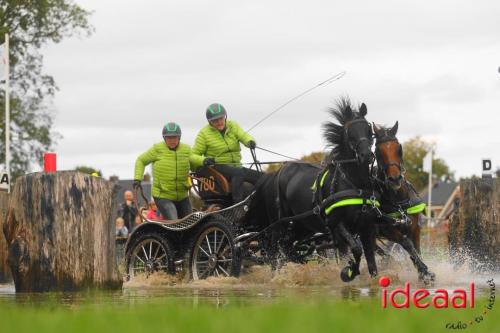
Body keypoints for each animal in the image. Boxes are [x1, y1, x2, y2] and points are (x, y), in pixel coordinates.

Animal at [374, 122, 436, 282]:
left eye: (398, 148)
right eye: (378, 151)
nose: (395, 179)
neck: (398, 203)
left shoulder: (414, 227)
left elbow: (416, 249)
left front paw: (422, 272)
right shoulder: (388, 230)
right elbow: (407, 244)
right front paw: (424, 271)